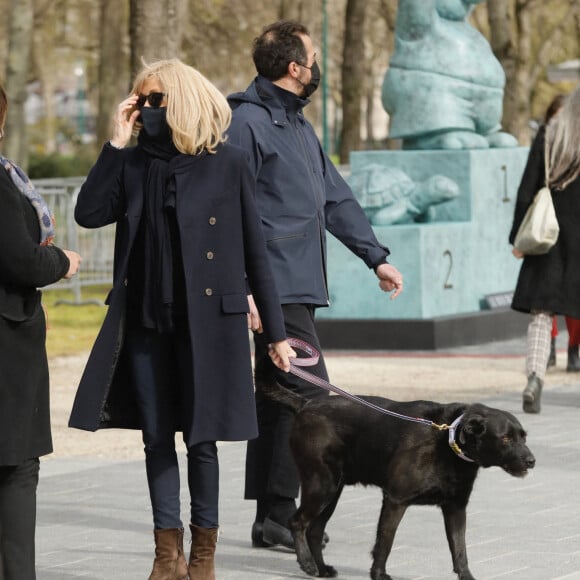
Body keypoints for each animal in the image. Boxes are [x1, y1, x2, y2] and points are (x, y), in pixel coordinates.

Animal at [262, 380, 536, 580]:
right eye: (505, 438)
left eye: (523, 436)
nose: (532, 460)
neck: (448, 441)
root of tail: (305, 403)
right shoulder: (395, 500)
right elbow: (385, 541)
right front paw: (378, 574)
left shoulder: (455, 507)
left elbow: (460, 550)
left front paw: (467, 577)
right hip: (321, 485)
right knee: (297, 522)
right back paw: (307, 564)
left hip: (333, 491)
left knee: (315, 530)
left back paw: (321, 569)